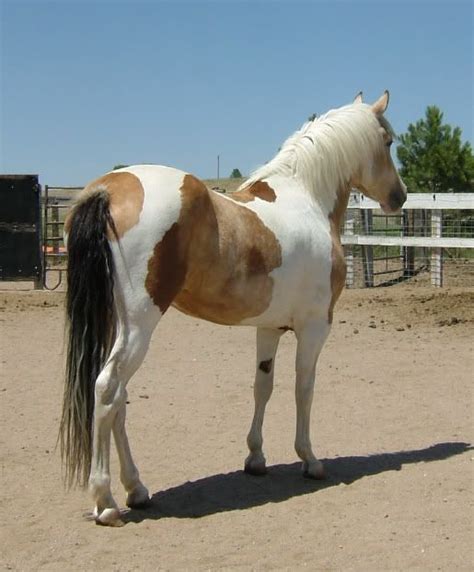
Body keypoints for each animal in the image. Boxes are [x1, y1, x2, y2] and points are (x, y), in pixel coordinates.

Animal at [59, 91, 408, 524]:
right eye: (388, 142)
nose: (400, 196)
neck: (305, 198)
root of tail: (108, 189)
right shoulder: (314, 327)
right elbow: (304, 388)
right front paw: (310, 460)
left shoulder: (269, 327)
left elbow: (263, 386)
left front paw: (255, 458)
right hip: (139, 325)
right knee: (107, 389)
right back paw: (106, 501)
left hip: (118, 324)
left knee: (118, 399)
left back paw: (137, 489)